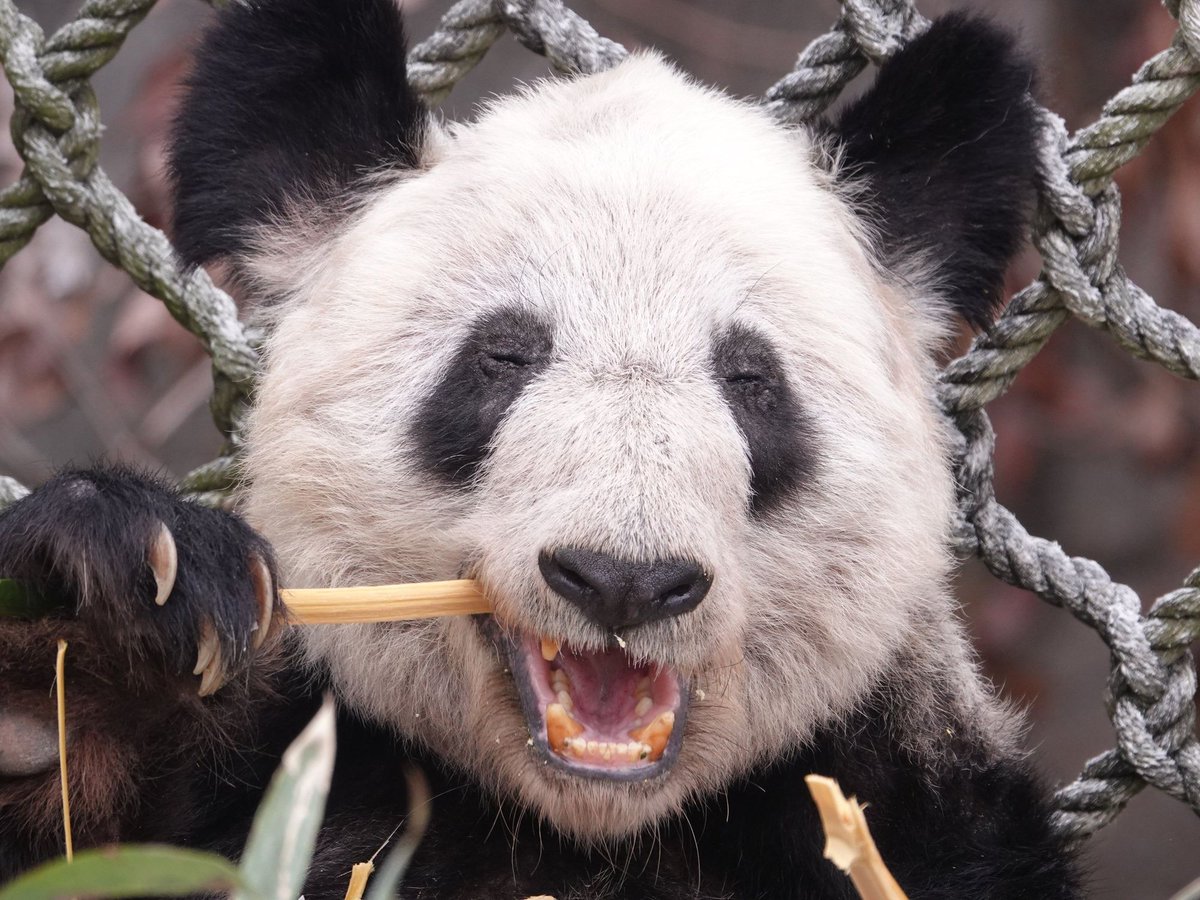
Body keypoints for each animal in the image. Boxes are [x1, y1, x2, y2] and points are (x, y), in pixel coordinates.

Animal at [0, 0, 1083, 896]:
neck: (592, 827)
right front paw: (116, 596)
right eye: (502, 358)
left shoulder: (916, 807)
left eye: (751, 381)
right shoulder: (282, 776)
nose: (623, 580)